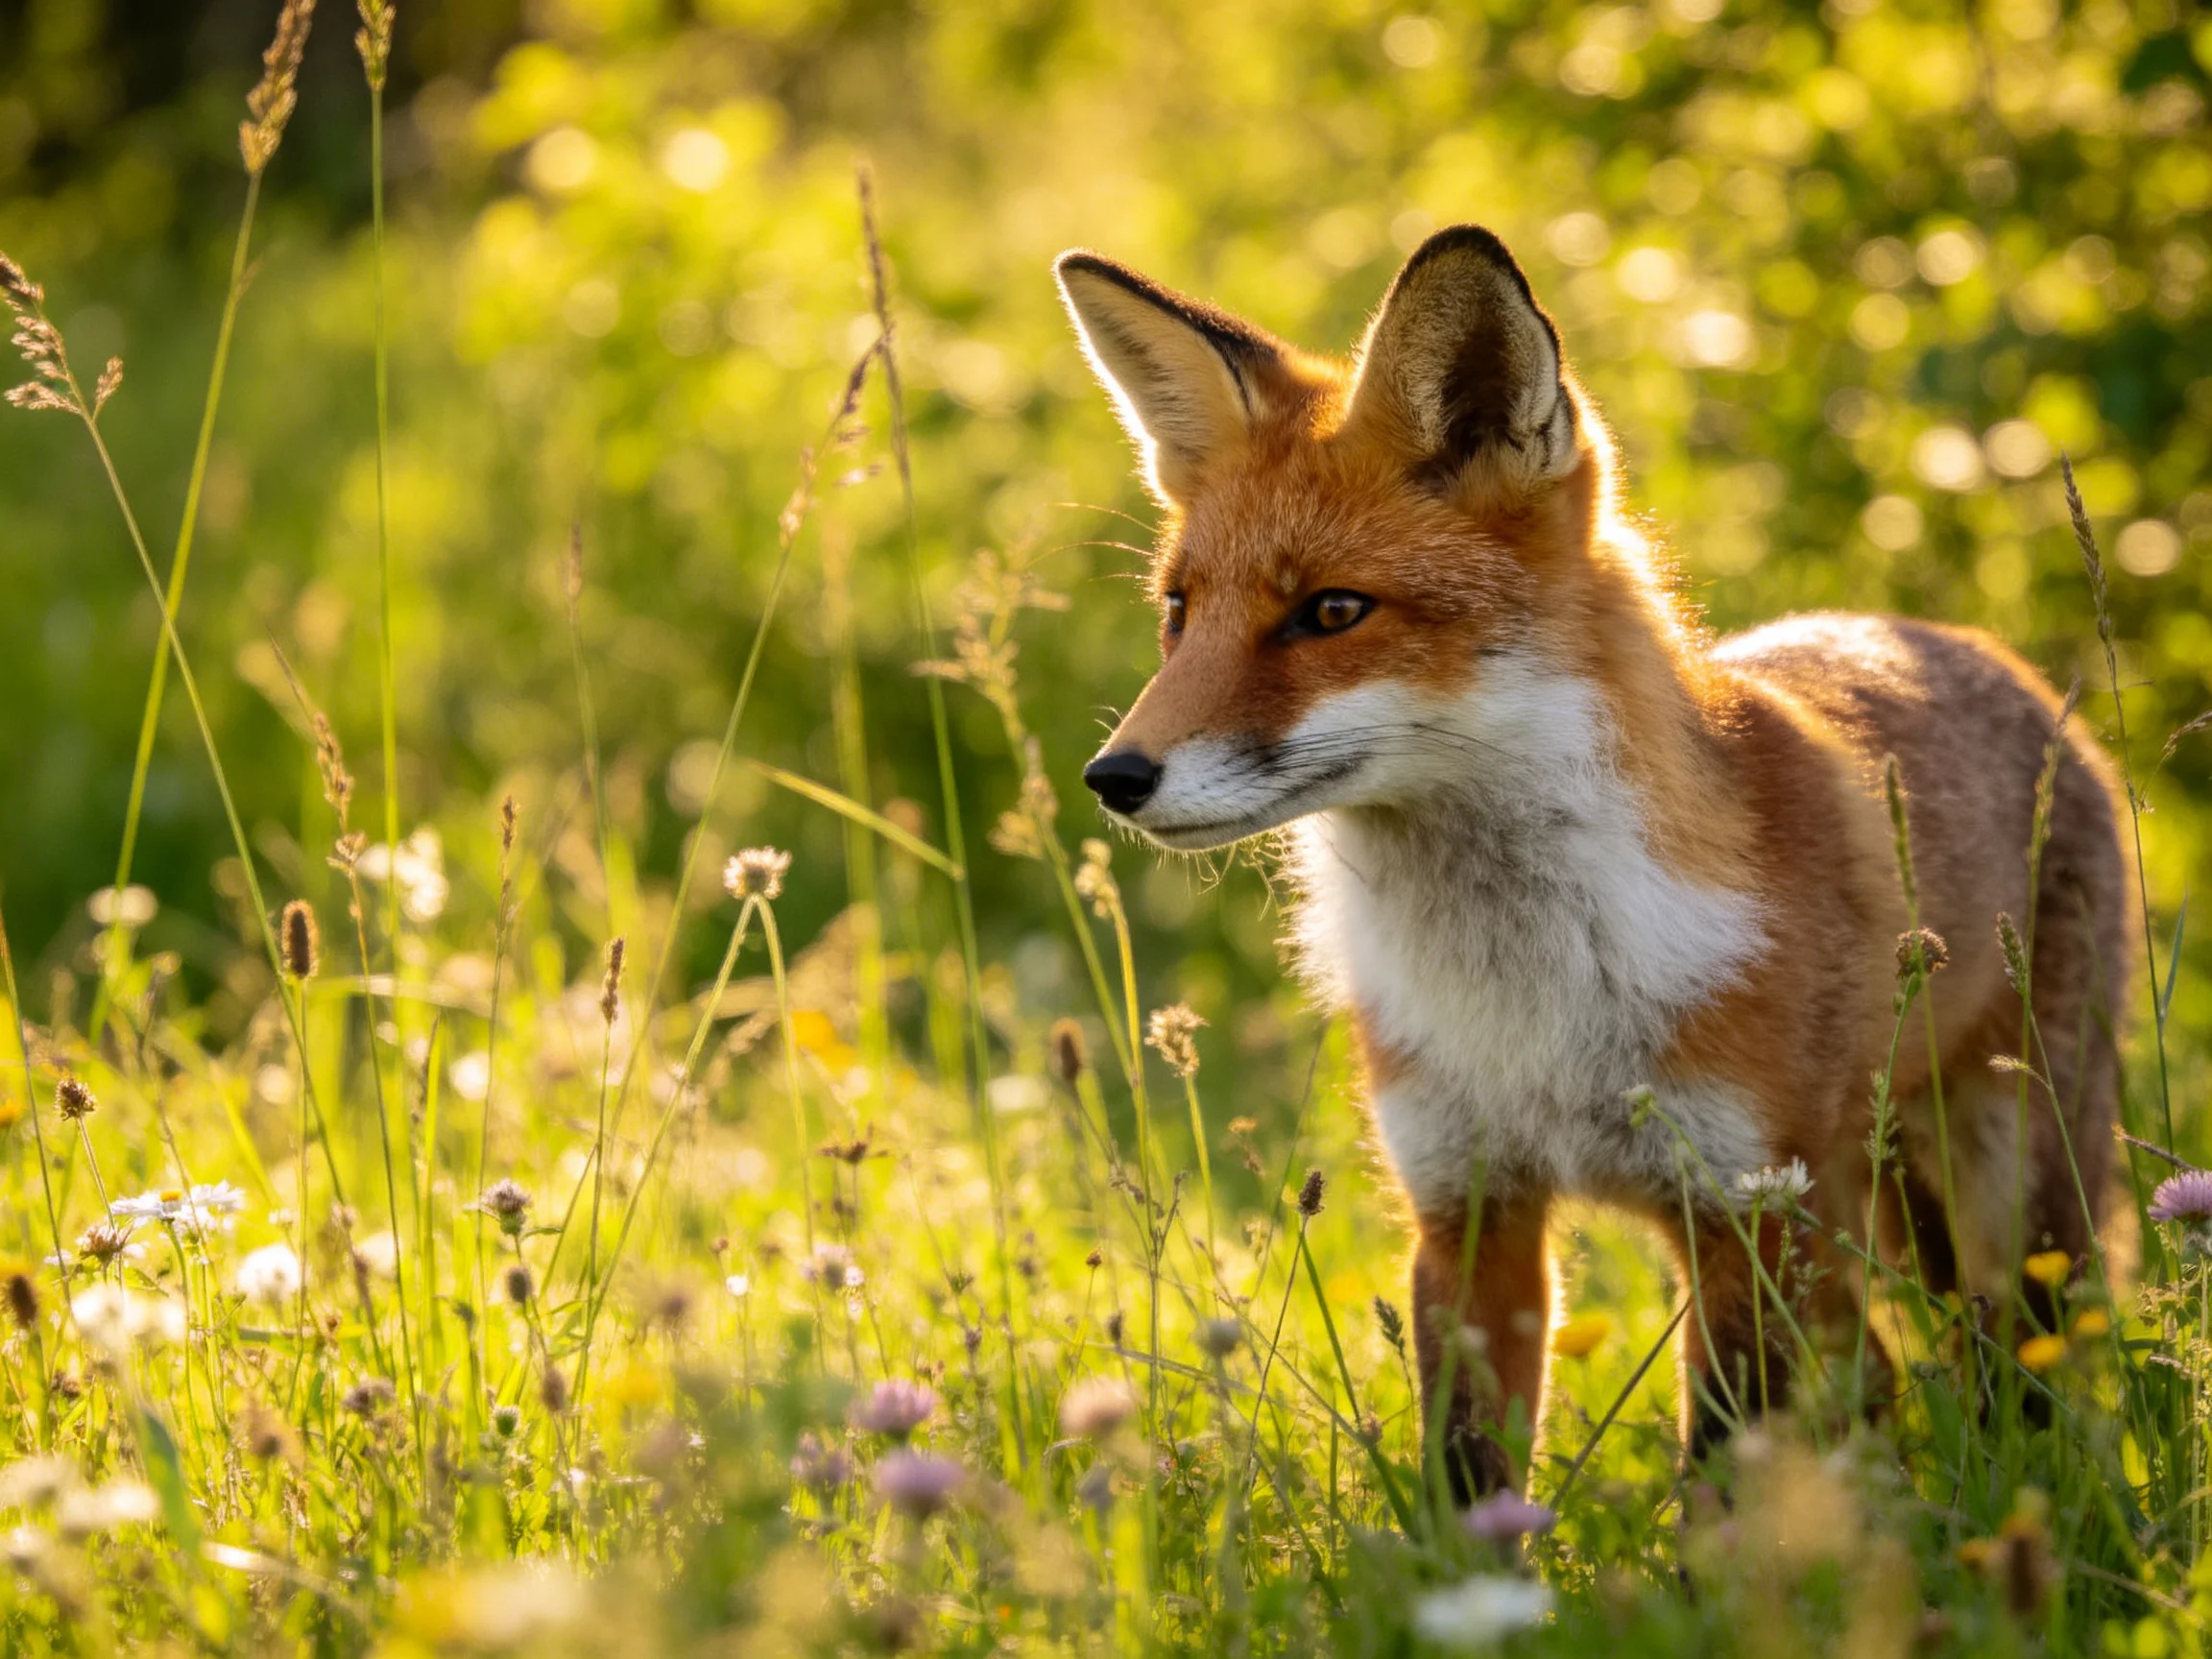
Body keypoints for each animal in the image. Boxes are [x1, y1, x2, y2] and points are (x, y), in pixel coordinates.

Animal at [1053, 225, 2133, 1501]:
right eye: (1180, 611)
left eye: (1331, 612)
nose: (1114, 776)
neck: (1533, 993)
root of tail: (1977, 649)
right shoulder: (1469, 1207)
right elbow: (1466, 1479)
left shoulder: (1744, 1211)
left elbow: (1724, 1480)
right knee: (1878, 1372)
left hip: (2010, 1183)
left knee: (2020, 1360)